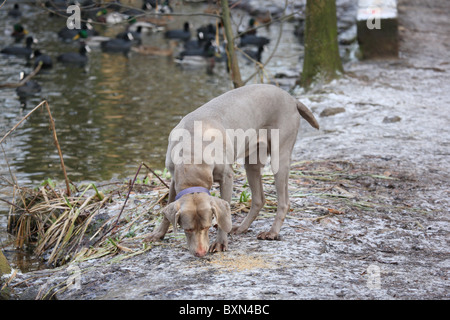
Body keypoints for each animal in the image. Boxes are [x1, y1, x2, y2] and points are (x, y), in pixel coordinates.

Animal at [145, 84, 320, 256]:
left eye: (207, 226)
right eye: (187, 229)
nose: (201, 253)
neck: (192, 155)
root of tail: (291, 98)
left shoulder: (227, 177)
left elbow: (225, 212)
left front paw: (220, 243)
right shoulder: (174, 180)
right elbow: (168, 208)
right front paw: (158, 234)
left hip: (280, 156)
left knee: (284, 201)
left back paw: (272, 232)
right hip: (252, 162)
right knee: (259, 199)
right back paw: (242, 227)